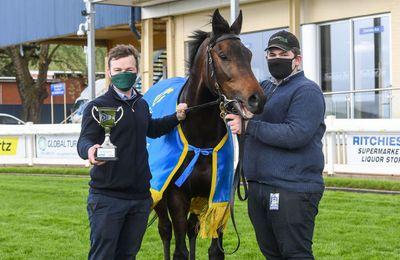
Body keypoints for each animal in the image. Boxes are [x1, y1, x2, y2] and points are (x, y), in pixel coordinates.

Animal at [153, 9, 266, 258]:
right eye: (223, 55)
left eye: (248, 54)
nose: (257, 98)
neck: (200, 139)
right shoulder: (177, 196)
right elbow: (180, 251)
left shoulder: (218, 194)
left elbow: (215, 250)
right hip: (158, 192)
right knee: (165, 230)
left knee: (192, 230)